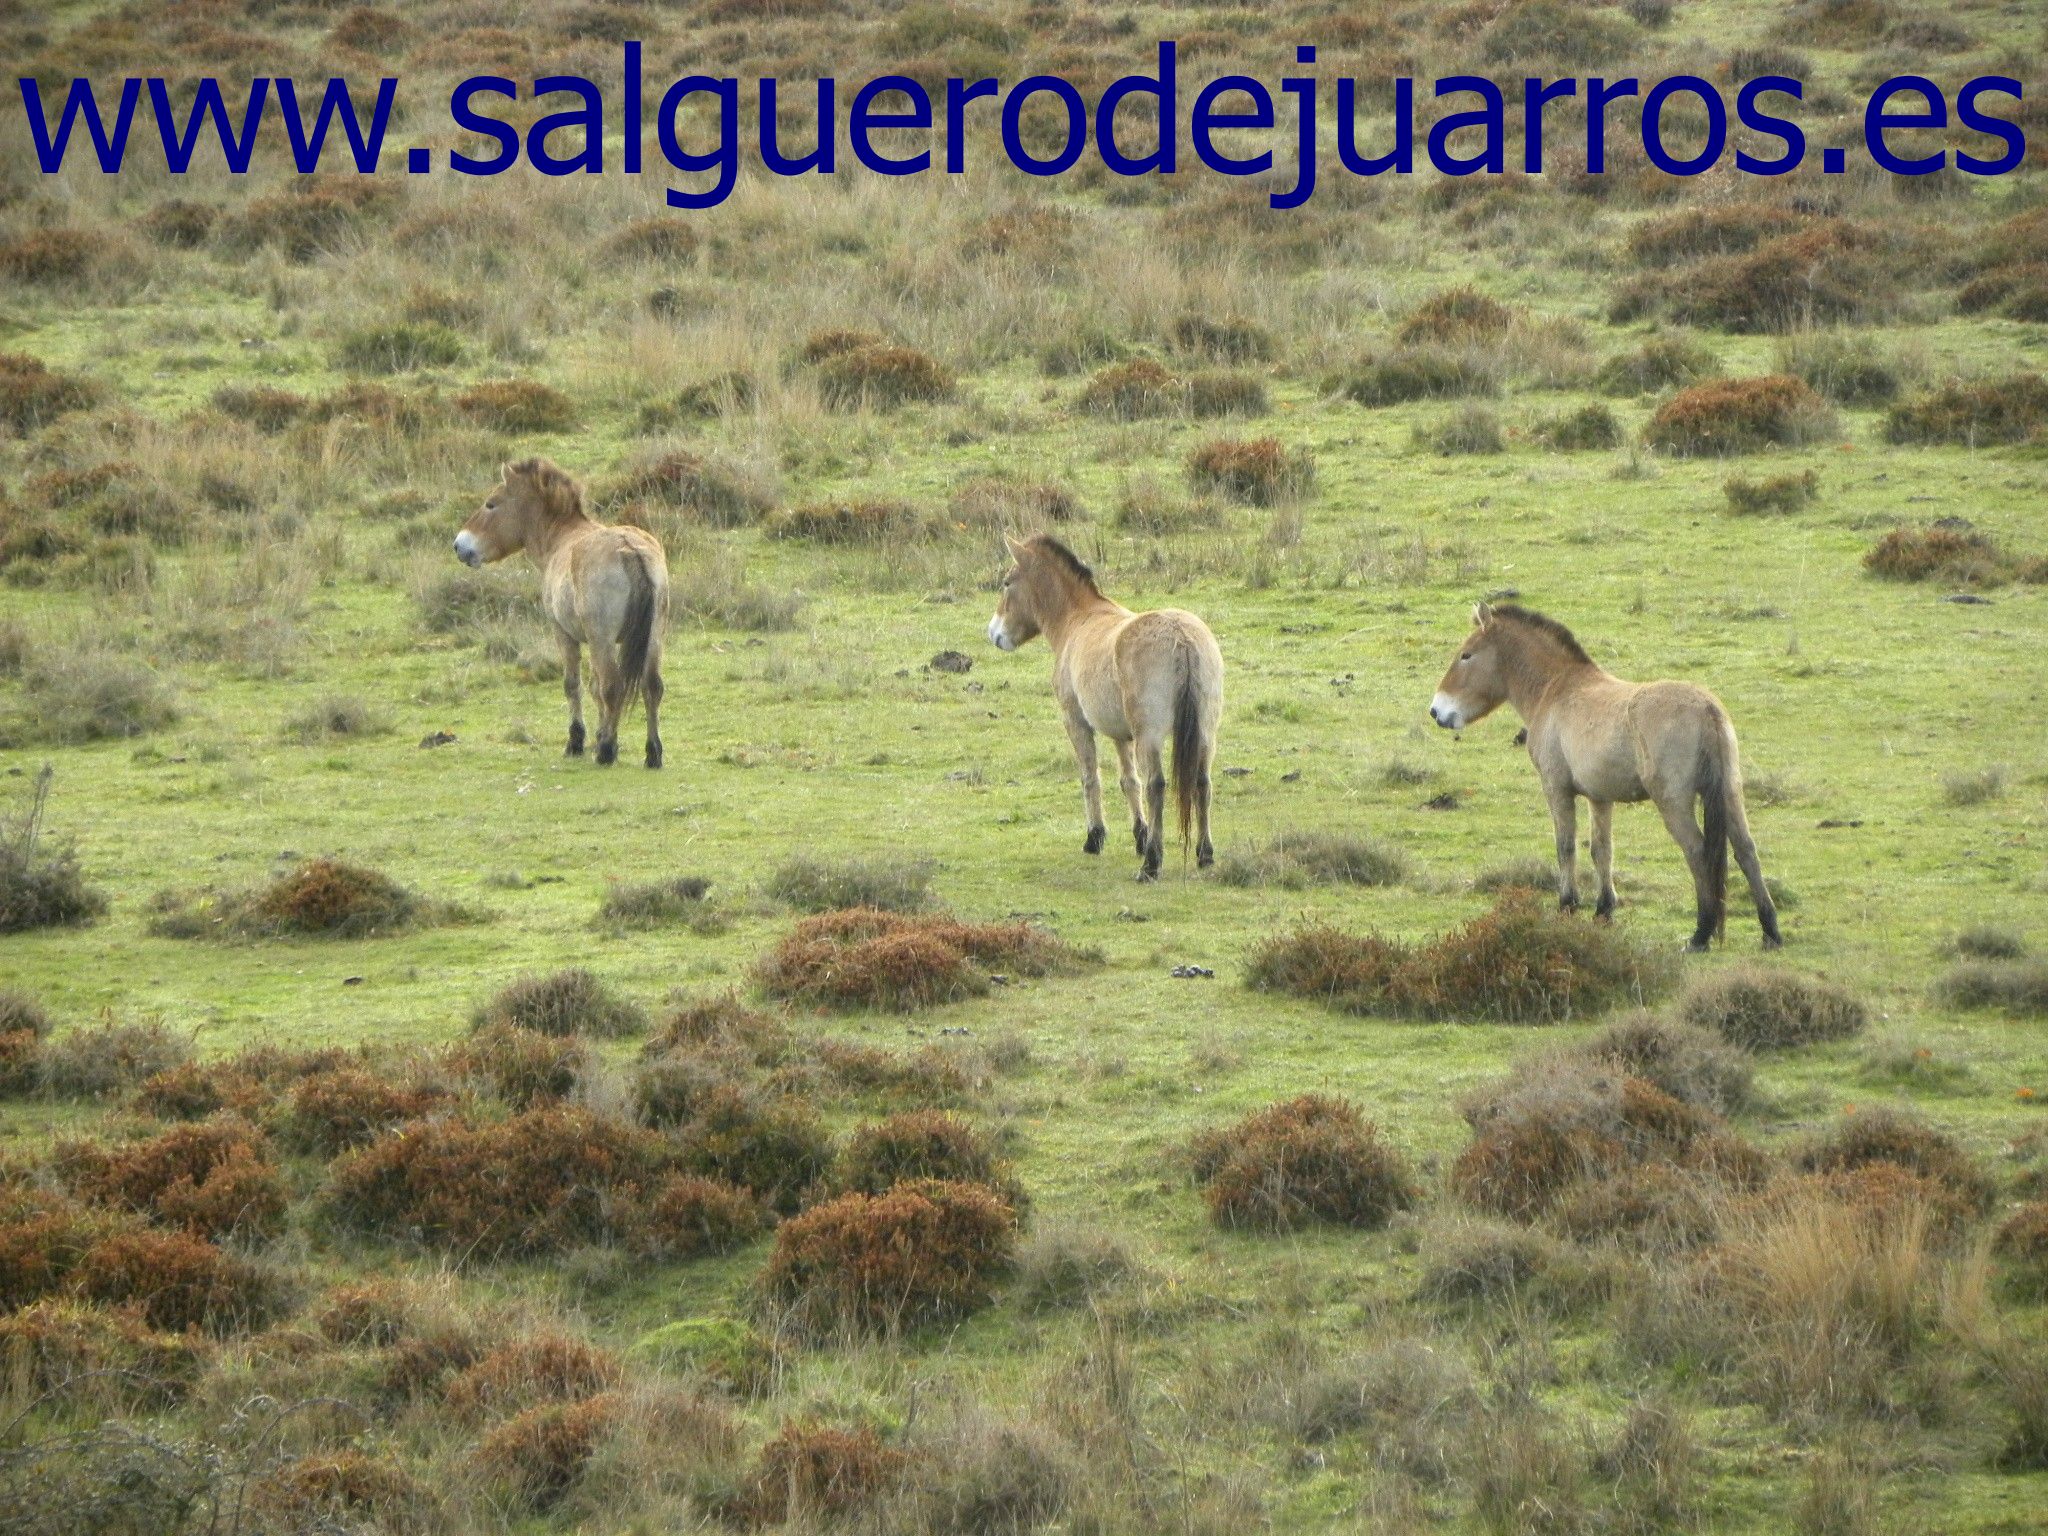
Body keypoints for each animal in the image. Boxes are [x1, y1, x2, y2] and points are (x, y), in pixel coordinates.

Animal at [455, 457, 670, 768]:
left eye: (491, 504)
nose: (459, 545)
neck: (562, 538)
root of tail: (630, 550)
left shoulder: (564, 633)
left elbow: (574, 685)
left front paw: (578, 742)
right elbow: (594, 688)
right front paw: (599, 735)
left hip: (602, 640)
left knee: (613, 687)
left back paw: (606, 751)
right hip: (653, 638)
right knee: (651, 687)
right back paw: (652, 753)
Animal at [986, 533, 1224, 880]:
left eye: (1006, 582)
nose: (994, 633)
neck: (1079, 619)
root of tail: (1182, 638)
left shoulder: (1077, 722)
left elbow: (1090, 777)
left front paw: (1095, 837)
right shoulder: (1120, 734)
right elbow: (1129, 782)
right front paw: (1139, 835)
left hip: (1150, 735)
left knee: (1157, 785)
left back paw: (1151, 864)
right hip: (1205, 731)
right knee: (1202, 782)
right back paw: (1204, 854)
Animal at [1428, 602, 1780, 952]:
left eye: (1466, 655)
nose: (1436, 711)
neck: (1555, 689)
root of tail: (1706, 708)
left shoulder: (1556, 788)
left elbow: (1565, 846)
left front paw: (1567, 906)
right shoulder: (1599, 797)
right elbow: (1601, 849)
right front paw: (1603, 910)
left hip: (1674, 802)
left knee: (1697, 851)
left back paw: (1701, 934)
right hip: (1730, 792)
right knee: (1746, 850)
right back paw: (1770, 931)